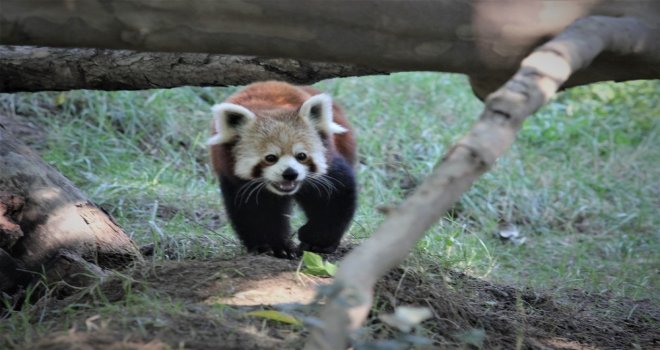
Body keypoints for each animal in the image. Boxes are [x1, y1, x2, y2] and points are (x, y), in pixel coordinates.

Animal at [209, 81, 358, 258]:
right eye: (270, 158)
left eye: (301, 156)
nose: (290, 173)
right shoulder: (236, 181)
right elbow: (255, 213)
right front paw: (274, 247)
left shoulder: (329, 167)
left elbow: (335, 198)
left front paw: (315, 241)